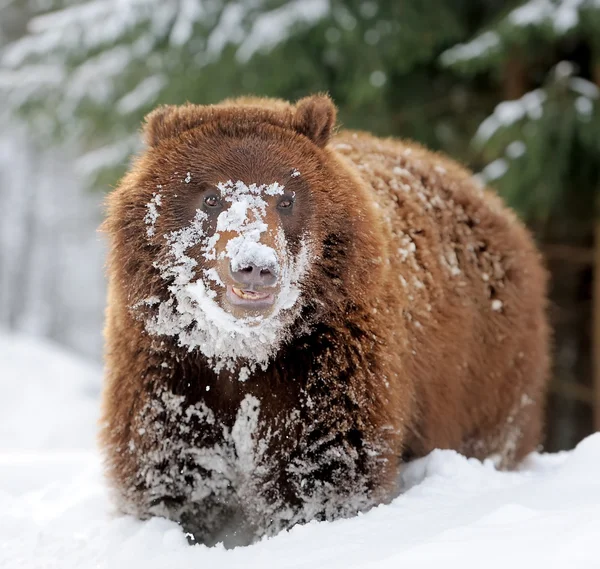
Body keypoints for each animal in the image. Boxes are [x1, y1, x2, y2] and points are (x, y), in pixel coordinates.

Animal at [101, 93, 552, 544]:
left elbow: (321, 468)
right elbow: (172, 470)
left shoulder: (326, 359)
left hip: (485, 371)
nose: (255, 265)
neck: (240, 353)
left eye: (286, 199)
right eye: (211, 197)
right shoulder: (172, 369)